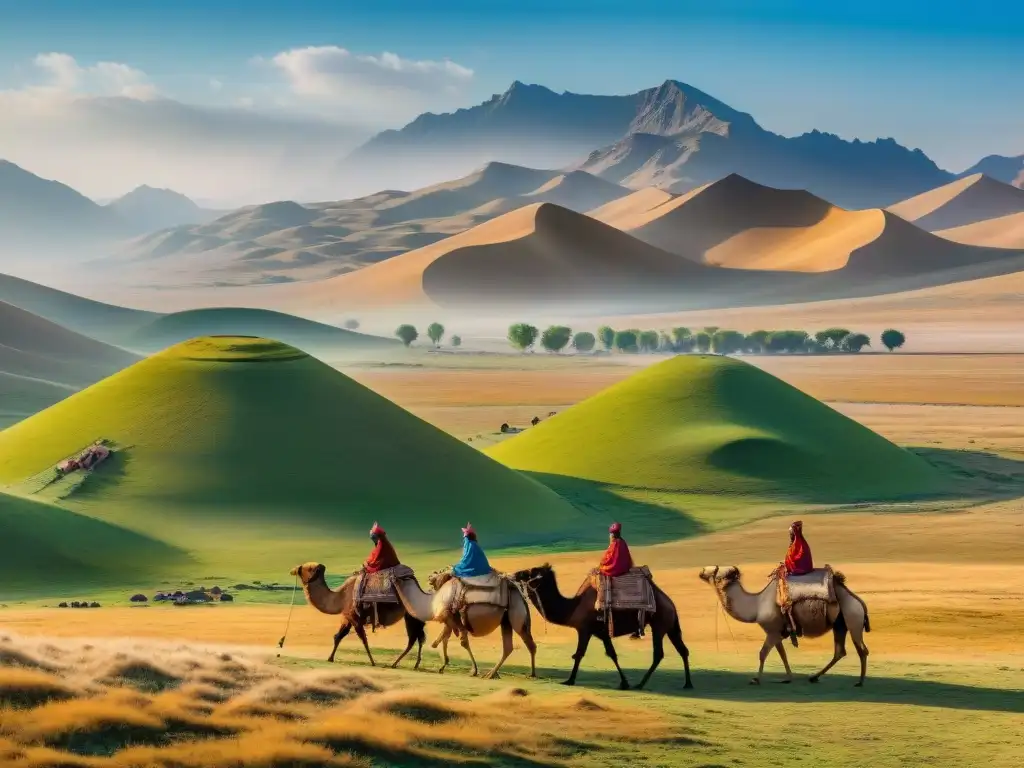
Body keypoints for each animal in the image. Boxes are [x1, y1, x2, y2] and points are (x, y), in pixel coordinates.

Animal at [290, 561, 425, 671]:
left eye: (307, 568)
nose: (294, 569)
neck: (340, 597)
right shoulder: (347, 617)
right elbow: (338, 636)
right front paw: (330, 658)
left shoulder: (354, 618)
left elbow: (363, 639)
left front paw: (372, 662)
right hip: (412, 616)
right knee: (418, 637)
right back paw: (414, 664)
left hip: (411, 614)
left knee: (414, 638)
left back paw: (397, 663)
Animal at [387, 565, 540, 679]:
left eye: (393, 574)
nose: (388, 576)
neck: (431, 603)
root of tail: (519, 594)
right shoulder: (450, 619)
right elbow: (444, 639)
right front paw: (443, 666)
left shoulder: (451, 617)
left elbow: (462, 642)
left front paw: (474, 670)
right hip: (506, 620)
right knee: (512, 646)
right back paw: (495, 673)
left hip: (516, 614)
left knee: (526, 642)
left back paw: (524, 673)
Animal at [516, 565, 692, 692]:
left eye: (530, 572)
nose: (517, 573)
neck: (573, 608)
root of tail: (671, 604)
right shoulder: (602, 633)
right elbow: (612, 654)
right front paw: (624, 682)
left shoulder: (584, 629)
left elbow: (579, 654)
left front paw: (569, 680)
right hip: (670, 625)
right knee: (683, 650)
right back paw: (687, 683)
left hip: (659, 623)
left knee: (658, 654)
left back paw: (641, 684)